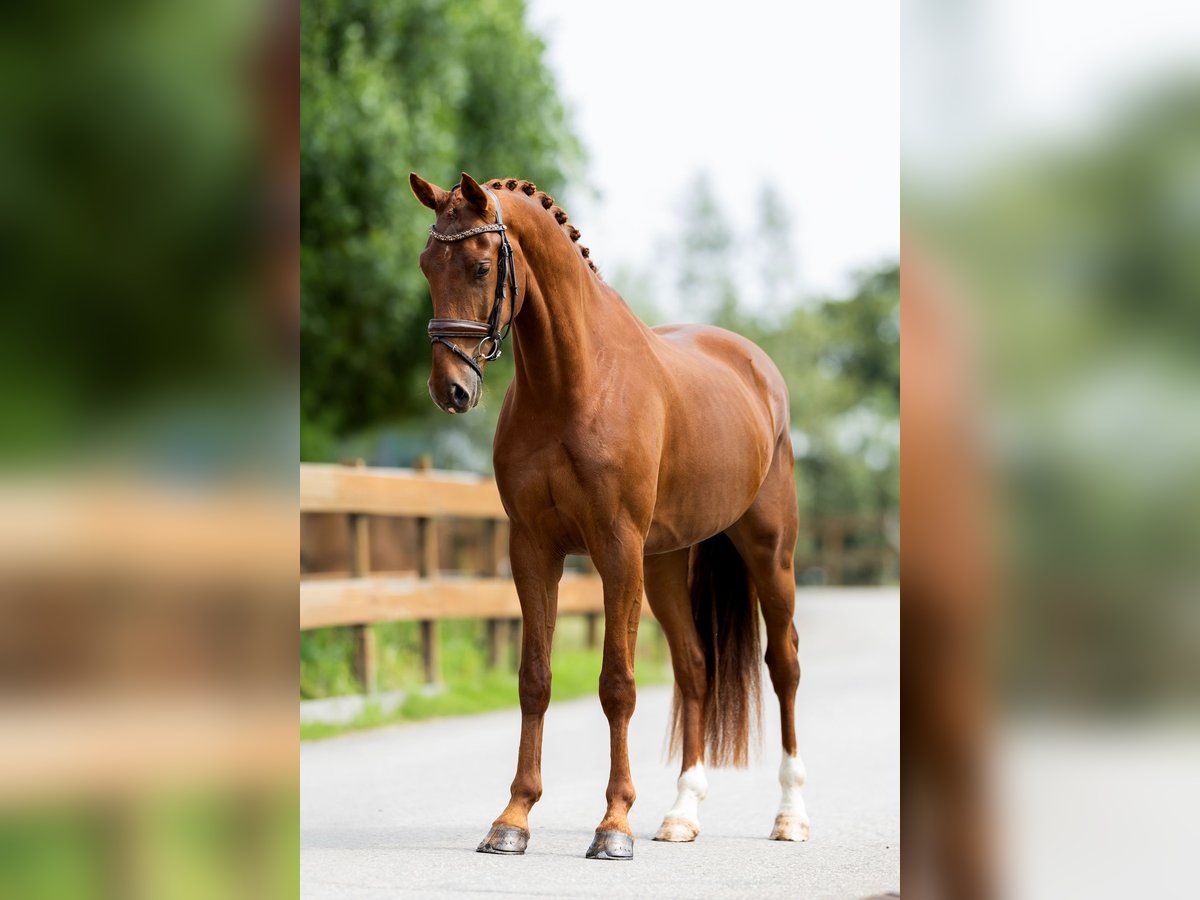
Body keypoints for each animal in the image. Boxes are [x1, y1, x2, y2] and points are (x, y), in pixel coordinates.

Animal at [408, 174, 811, 859]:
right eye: (425, 265)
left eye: (481, 266)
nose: (451, 390)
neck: (574, 385)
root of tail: (758, 369)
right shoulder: (533, 549)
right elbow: (534, 677)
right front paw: (513, 819)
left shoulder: (616, 549)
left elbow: (617, 684)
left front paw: (614, 825)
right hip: (668, 563)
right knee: (695, 669)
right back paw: (681, 815)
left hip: (767, 551)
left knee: (783, 664)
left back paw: (789, 816)